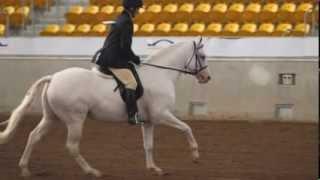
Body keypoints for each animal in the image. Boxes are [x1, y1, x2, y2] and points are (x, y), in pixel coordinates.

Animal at [0, 38, 210, 177]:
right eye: (202, 56)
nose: (207, 78)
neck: (161, 74)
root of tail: (53, 77)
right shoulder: (162, 115)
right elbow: (187, 128)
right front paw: (195, 155)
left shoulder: (149, 121)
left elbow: (148, 145)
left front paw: (154, 169)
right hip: (74, 120)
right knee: (72, 146)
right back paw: (92, 171)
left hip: (52, 117)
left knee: (33, 136)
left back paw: (25, 170)